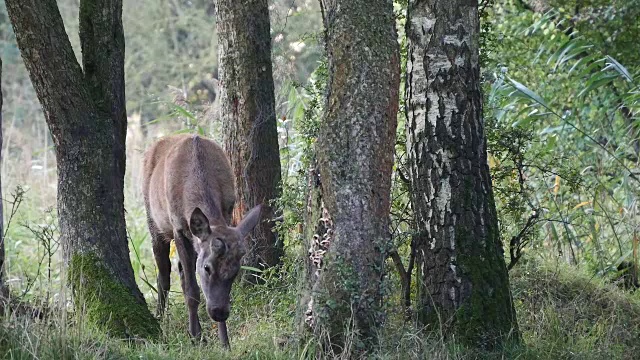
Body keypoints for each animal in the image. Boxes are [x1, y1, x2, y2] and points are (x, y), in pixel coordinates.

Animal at [142, 134, 260, 348]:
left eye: (235, 271)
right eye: (207, 268)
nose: (219, 312)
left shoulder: (227, 213)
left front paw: (224, 343)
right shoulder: (178, 228)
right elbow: (192, 290)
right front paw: (196, 337)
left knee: (180, 271)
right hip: (153, 221)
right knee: (164, 275)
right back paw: (160, 319)